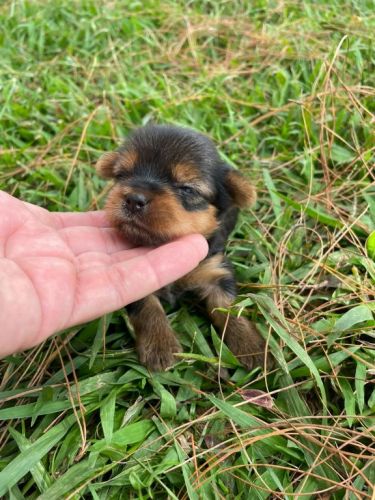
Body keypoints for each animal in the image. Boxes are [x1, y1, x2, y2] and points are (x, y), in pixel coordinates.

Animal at [95, 125, 268, 372]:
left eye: (187, 189)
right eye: (122, 175)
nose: (133, 199)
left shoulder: (216, 269)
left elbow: (227, 306)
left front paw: (250, 344)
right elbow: (147, 307)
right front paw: (160, 346)